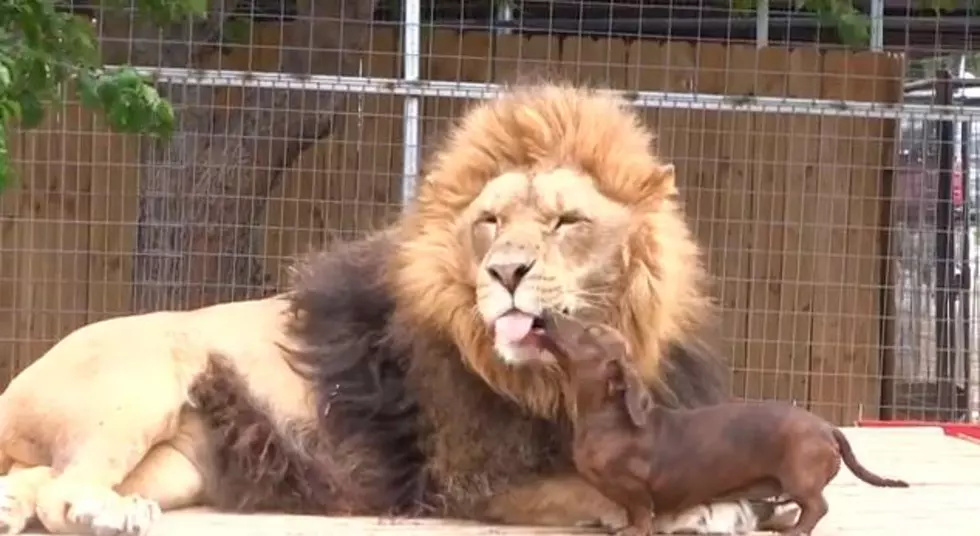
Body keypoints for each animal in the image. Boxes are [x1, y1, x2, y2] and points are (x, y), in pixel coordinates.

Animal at [0, 80, 796, 536]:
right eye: (489, 222)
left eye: (567, 222)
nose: (506, 272)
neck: (557, 373)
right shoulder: (471, 480)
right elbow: (598, 489)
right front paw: (701, 508)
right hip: (139, 387)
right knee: (63, 492)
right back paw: (99, 514)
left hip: (178, 464)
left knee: (35, 480)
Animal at [536, 314, 912, 536]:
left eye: (591, 330)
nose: (545, 315)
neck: (606, 419)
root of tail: (826, 427)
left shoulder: (636, 488)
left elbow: (641, 512)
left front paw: (633, 529)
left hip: (799, 479)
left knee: (817, 507)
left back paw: (794, 530)